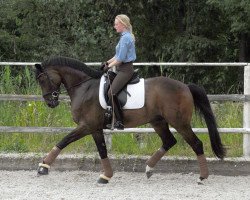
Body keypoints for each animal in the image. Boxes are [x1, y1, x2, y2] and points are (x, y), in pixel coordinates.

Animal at [34, 56, 226, 184]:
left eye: (42, 79)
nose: (50, 102)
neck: (84, 87)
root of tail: (185, 86)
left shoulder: (87, 125)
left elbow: (64, 141)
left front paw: (43, 167)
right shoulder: (95, 128)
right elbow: (102, 150)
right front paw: (106, 176)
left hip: (180, 123)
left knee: (196, 144)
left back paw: (202, 177)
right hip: (158, 121)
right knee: (169, 141)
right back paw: (149, 169)